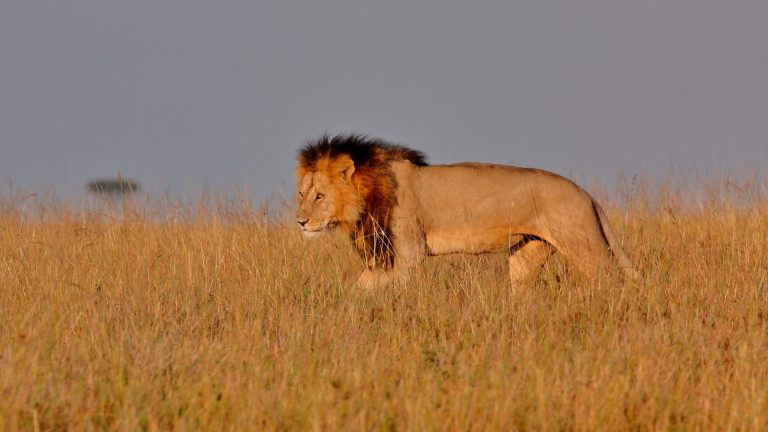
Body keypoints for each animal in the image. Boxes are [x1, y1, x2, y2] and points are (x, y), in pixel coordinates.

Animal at [295, 134, 639, 288]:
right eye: (301, 194)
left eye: (320, 196)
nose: (300, 221)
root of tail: (585, 193)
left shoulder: (408, 254)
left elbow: (365, 286)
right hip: (527, 253)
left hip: (586, 247)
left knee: (611, 278)